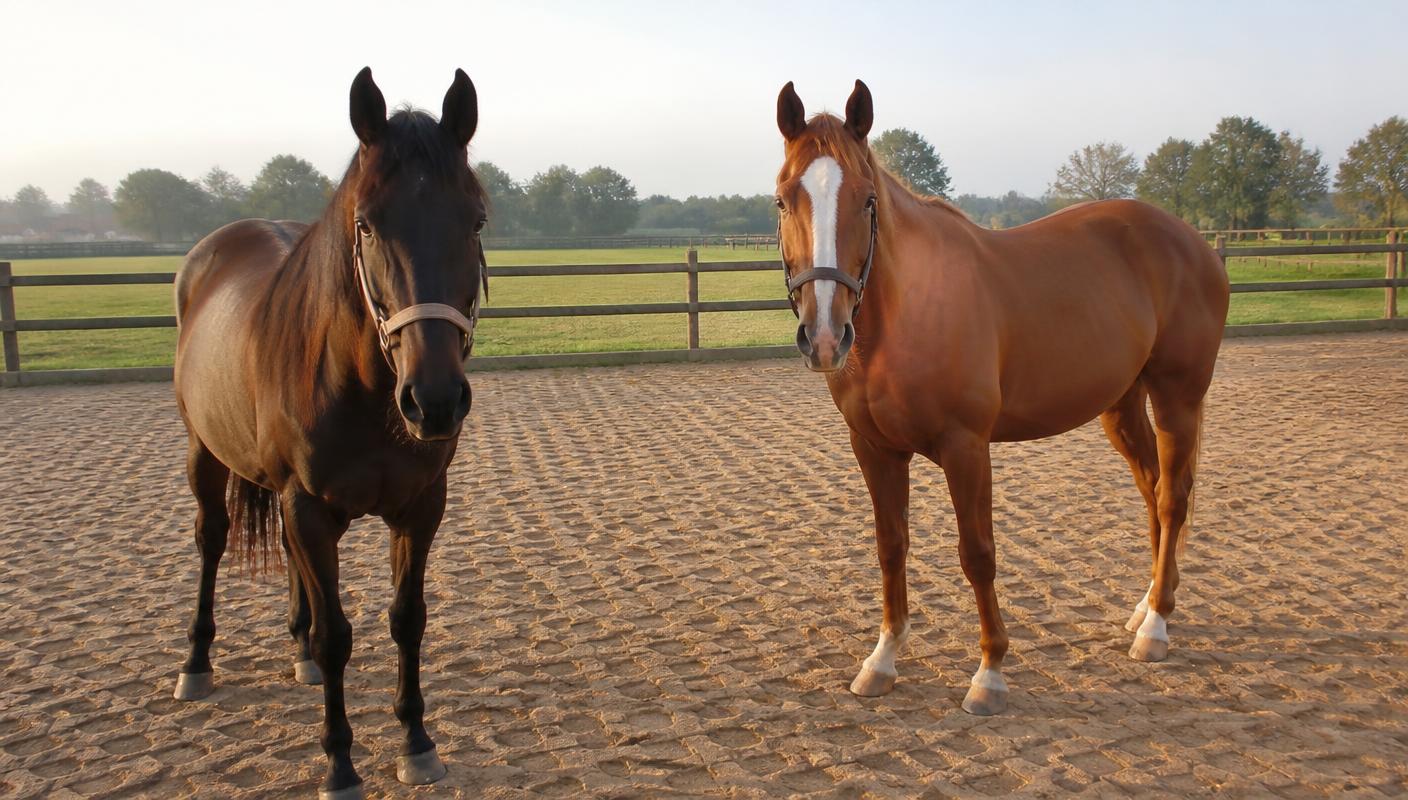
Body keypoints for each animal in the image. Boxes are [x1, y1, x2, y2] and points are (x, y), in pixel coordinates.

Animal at [171, 67, 489, 798]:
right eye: (366, 223)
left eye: (476, 220)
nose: (434, 401)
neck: (366, 394)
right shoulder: (309, 506)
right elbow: (338, 636)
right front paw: (340, 764)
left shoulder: (420, 507)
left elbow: (407, 620)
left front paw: (416, 741)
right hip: (207, 456)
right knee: (211, 540)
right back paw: (197, 663)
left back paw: (296, 651)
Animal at [773, 80, 1229, 715]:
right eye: (782, 200)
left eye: (866, 201)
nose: (823, 335)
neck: (911, 311)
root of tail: (1192, 241)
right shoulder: (874, 448)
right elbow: (891, 545)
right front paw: (882, 660)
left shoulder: (967, 447)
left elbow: (977, 553)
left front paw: (989, 673)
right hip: (1121, 405)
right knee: (1151, 488)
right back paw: (1145, 607)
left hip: (1177, 398)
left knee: (1172, 500)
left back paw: (1157, 626)